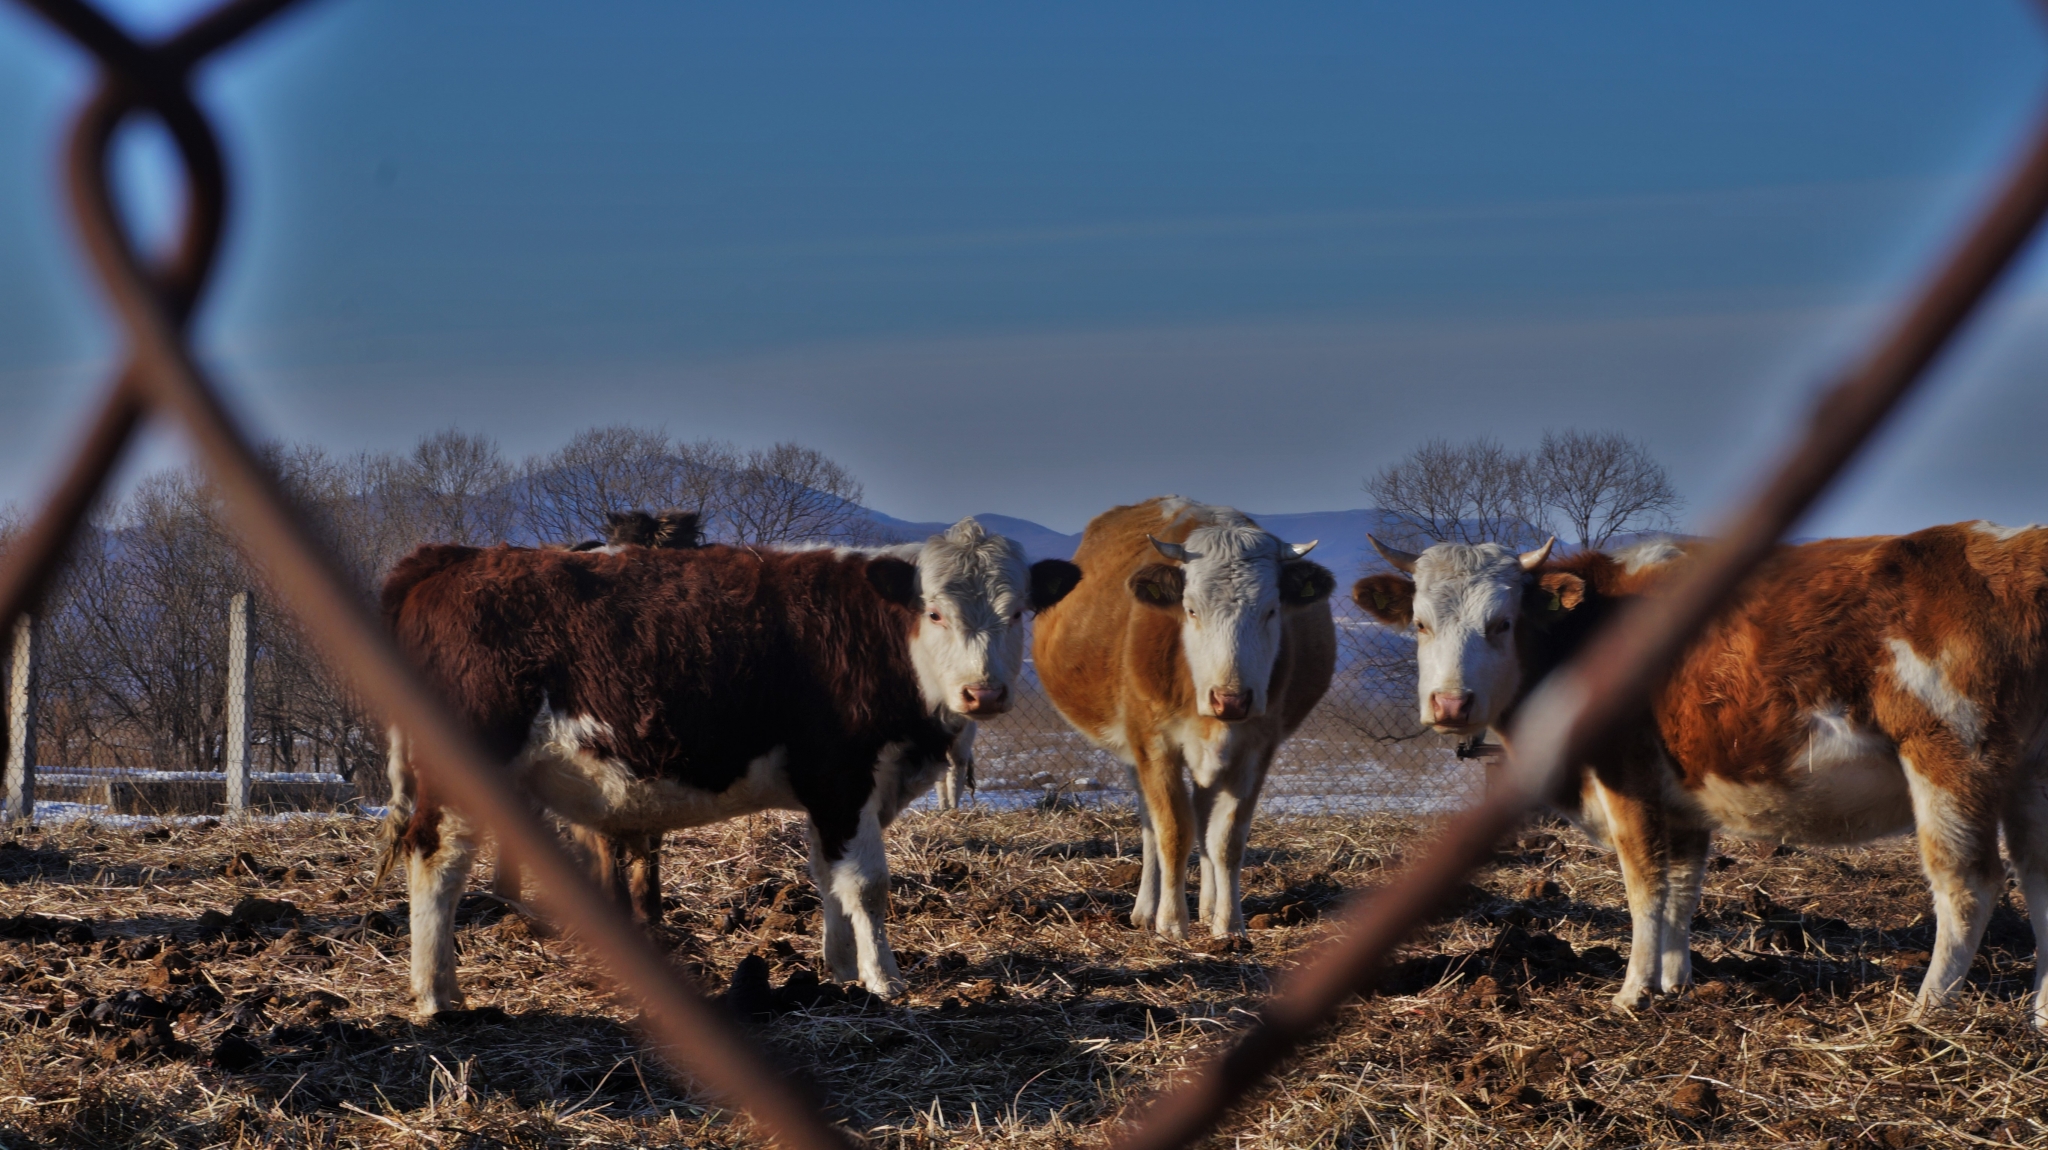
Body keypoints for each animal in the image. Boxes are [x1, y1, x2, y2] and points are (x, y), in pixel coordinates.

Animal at [381, 517, 1082, 1015]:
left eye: (1017, 611)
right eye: (934, 611)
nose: (983, 693)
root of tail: (454, 558)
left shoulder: (833, 794)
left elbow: (829, 876)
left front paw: (841, 972)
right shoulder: (842, 777)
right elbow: (867, 885)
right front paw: (884, 980)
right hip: (462, 771)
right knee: (437, 858)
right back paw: (436, 993)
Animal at [1033, 497, 1336, 939]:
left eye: (1271, 610)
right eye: (1191, 610)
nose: (1231, 699)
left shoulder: (1256, 747)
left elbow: (1226, 839)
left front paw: (1229, 925)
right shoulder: (1154, 743)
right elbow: (1173, 831)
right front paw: (1172, 922)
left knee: (1205, 817)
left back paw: (1208, 906)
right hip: (1134, 752)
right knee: (1151, 823)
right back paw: (1146, 909)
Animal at [1353, 523, 2048, 1026]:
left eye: (1501, 624)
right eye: (1420, 623)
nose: (1450, 704)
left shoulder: (1625, 776)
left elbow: (1644, 885)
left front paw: (1633, 993)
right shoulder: (1683, 800)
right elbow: (1683, 888)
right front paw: (1674, 982)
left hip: (1949, 757)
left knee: (1967, 884)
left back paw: (1928, 1009)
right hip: (2029, 776)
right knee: (2038, 877)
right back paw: (2040, 1013)